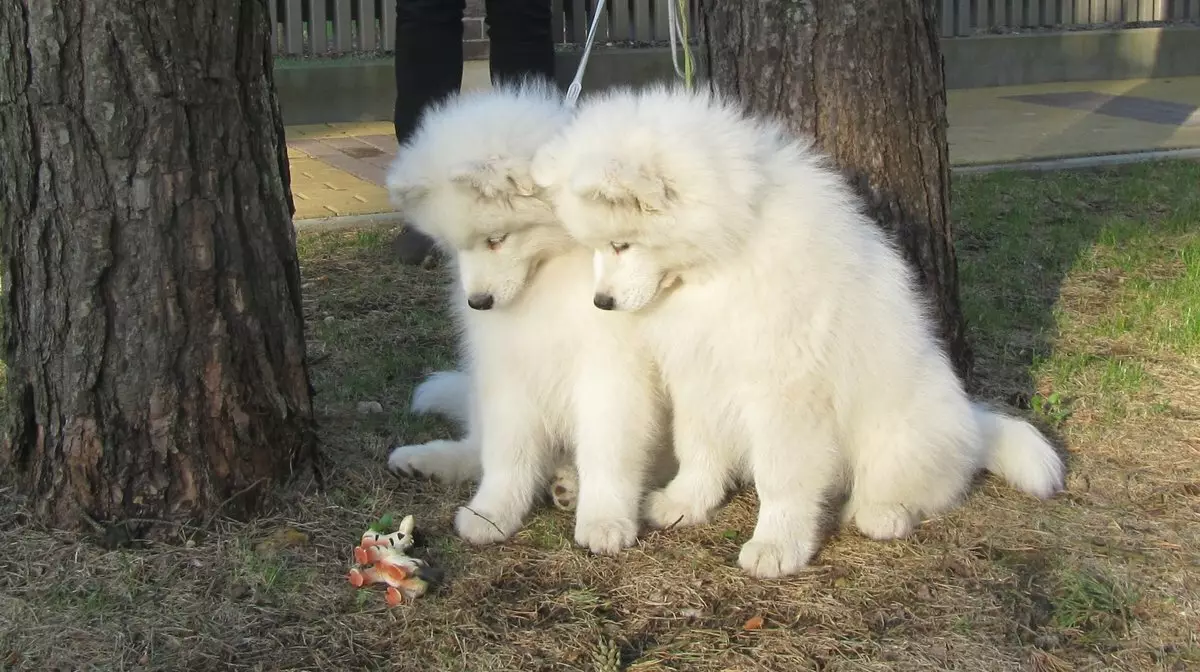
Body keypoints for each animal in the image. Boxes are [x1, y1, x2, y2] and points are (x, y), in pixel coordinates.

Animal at [384, 78, 667, 554]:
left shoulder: (610, 370)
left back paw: (569, 484)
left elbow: (607, 449)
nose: (478, 302)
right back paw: (424, 459)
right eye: (455, 246)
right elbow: (506, 452)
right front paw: (492, 513)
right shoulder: (508, 365)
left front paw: (605, 520)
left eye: (497, 239)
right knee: (476, 445)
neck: (548, 279)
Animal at [530, 84, 1065, 578]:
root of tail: (971, 419)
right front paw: (686, 502)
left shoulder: (785, 389)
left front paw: (776, 546)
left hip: (897, 430)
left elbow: (780, 477)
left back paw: (880, 513)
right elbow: (697, 445)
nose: (601, 303)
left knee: (916, 484)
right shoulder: (698, 371)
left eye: (621, 244)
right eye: (597, 247)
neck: (724, 260)